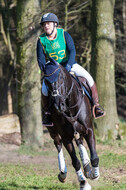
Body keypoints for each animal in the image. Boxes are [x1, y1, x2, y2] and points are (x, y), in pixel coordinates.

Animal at [41, 57, 100, 190]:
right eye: (46, 81)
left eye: (61, 77)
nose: (59, 105)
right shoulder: (66, 137)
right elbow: (75, 162)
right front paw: (83, 183)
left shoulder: (89, 130)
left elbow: (94, 157)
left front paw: (94, 174)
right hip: (53, 131)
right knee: (58, 144)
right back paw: (63, 173)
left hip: (79, 130)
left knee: (79, 141)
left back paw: (87, 168)